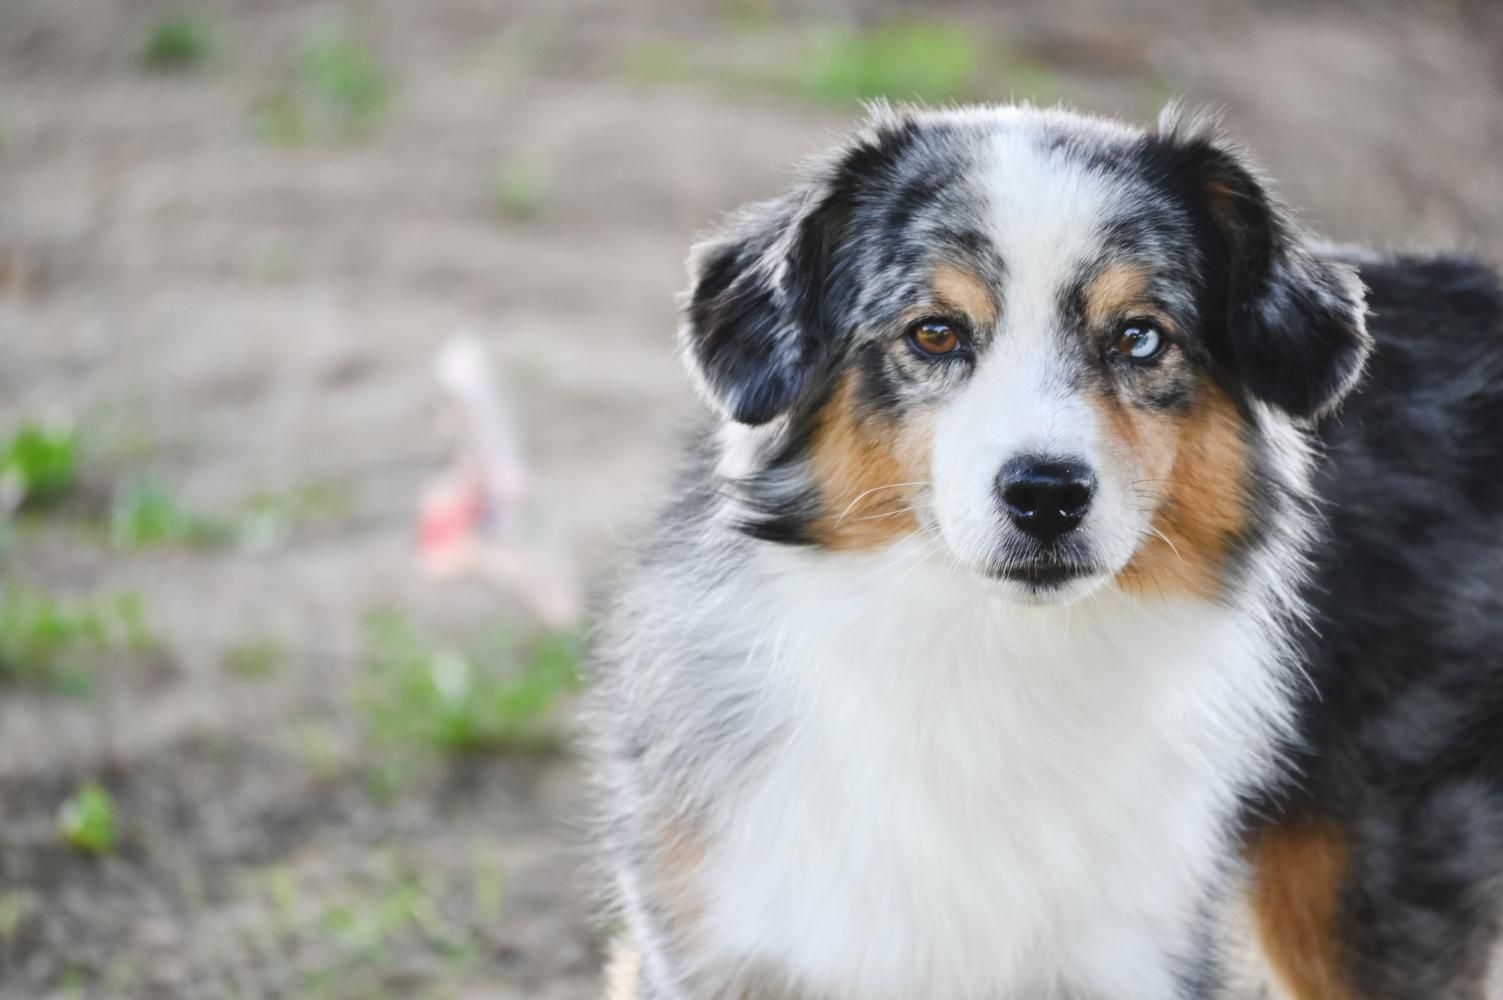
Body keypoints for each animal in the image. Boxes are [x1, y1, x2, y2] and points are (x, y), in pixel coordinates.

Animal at [586, 103, 1503, 998]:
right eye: (934, 333)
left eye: (1138, 337)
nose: (1046, 496)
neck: (983, 656)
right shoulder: (713, 938)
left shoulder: (1135, 945)